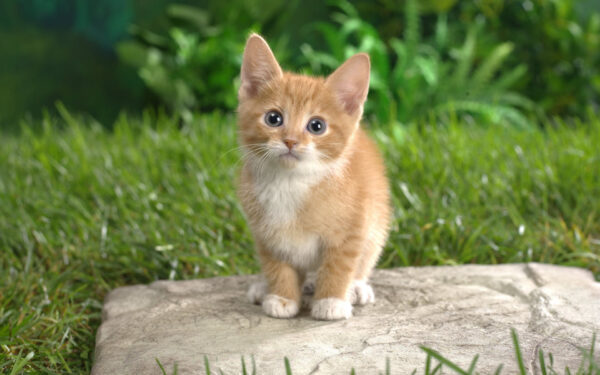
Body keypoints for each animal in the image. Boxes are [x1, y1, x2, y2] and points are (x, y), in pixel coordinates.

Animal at [237, 33, 392, 320]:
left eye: (316, 126)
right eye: (273, 118)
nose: (290, 141)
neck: (290, 183)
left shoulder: (353, 228)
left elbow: (339, 265)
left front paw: (331, 300)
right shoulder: (266, 234)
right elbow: (277, 265)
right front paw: (282, 297)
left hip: (377, 224)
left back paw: (356, 287)